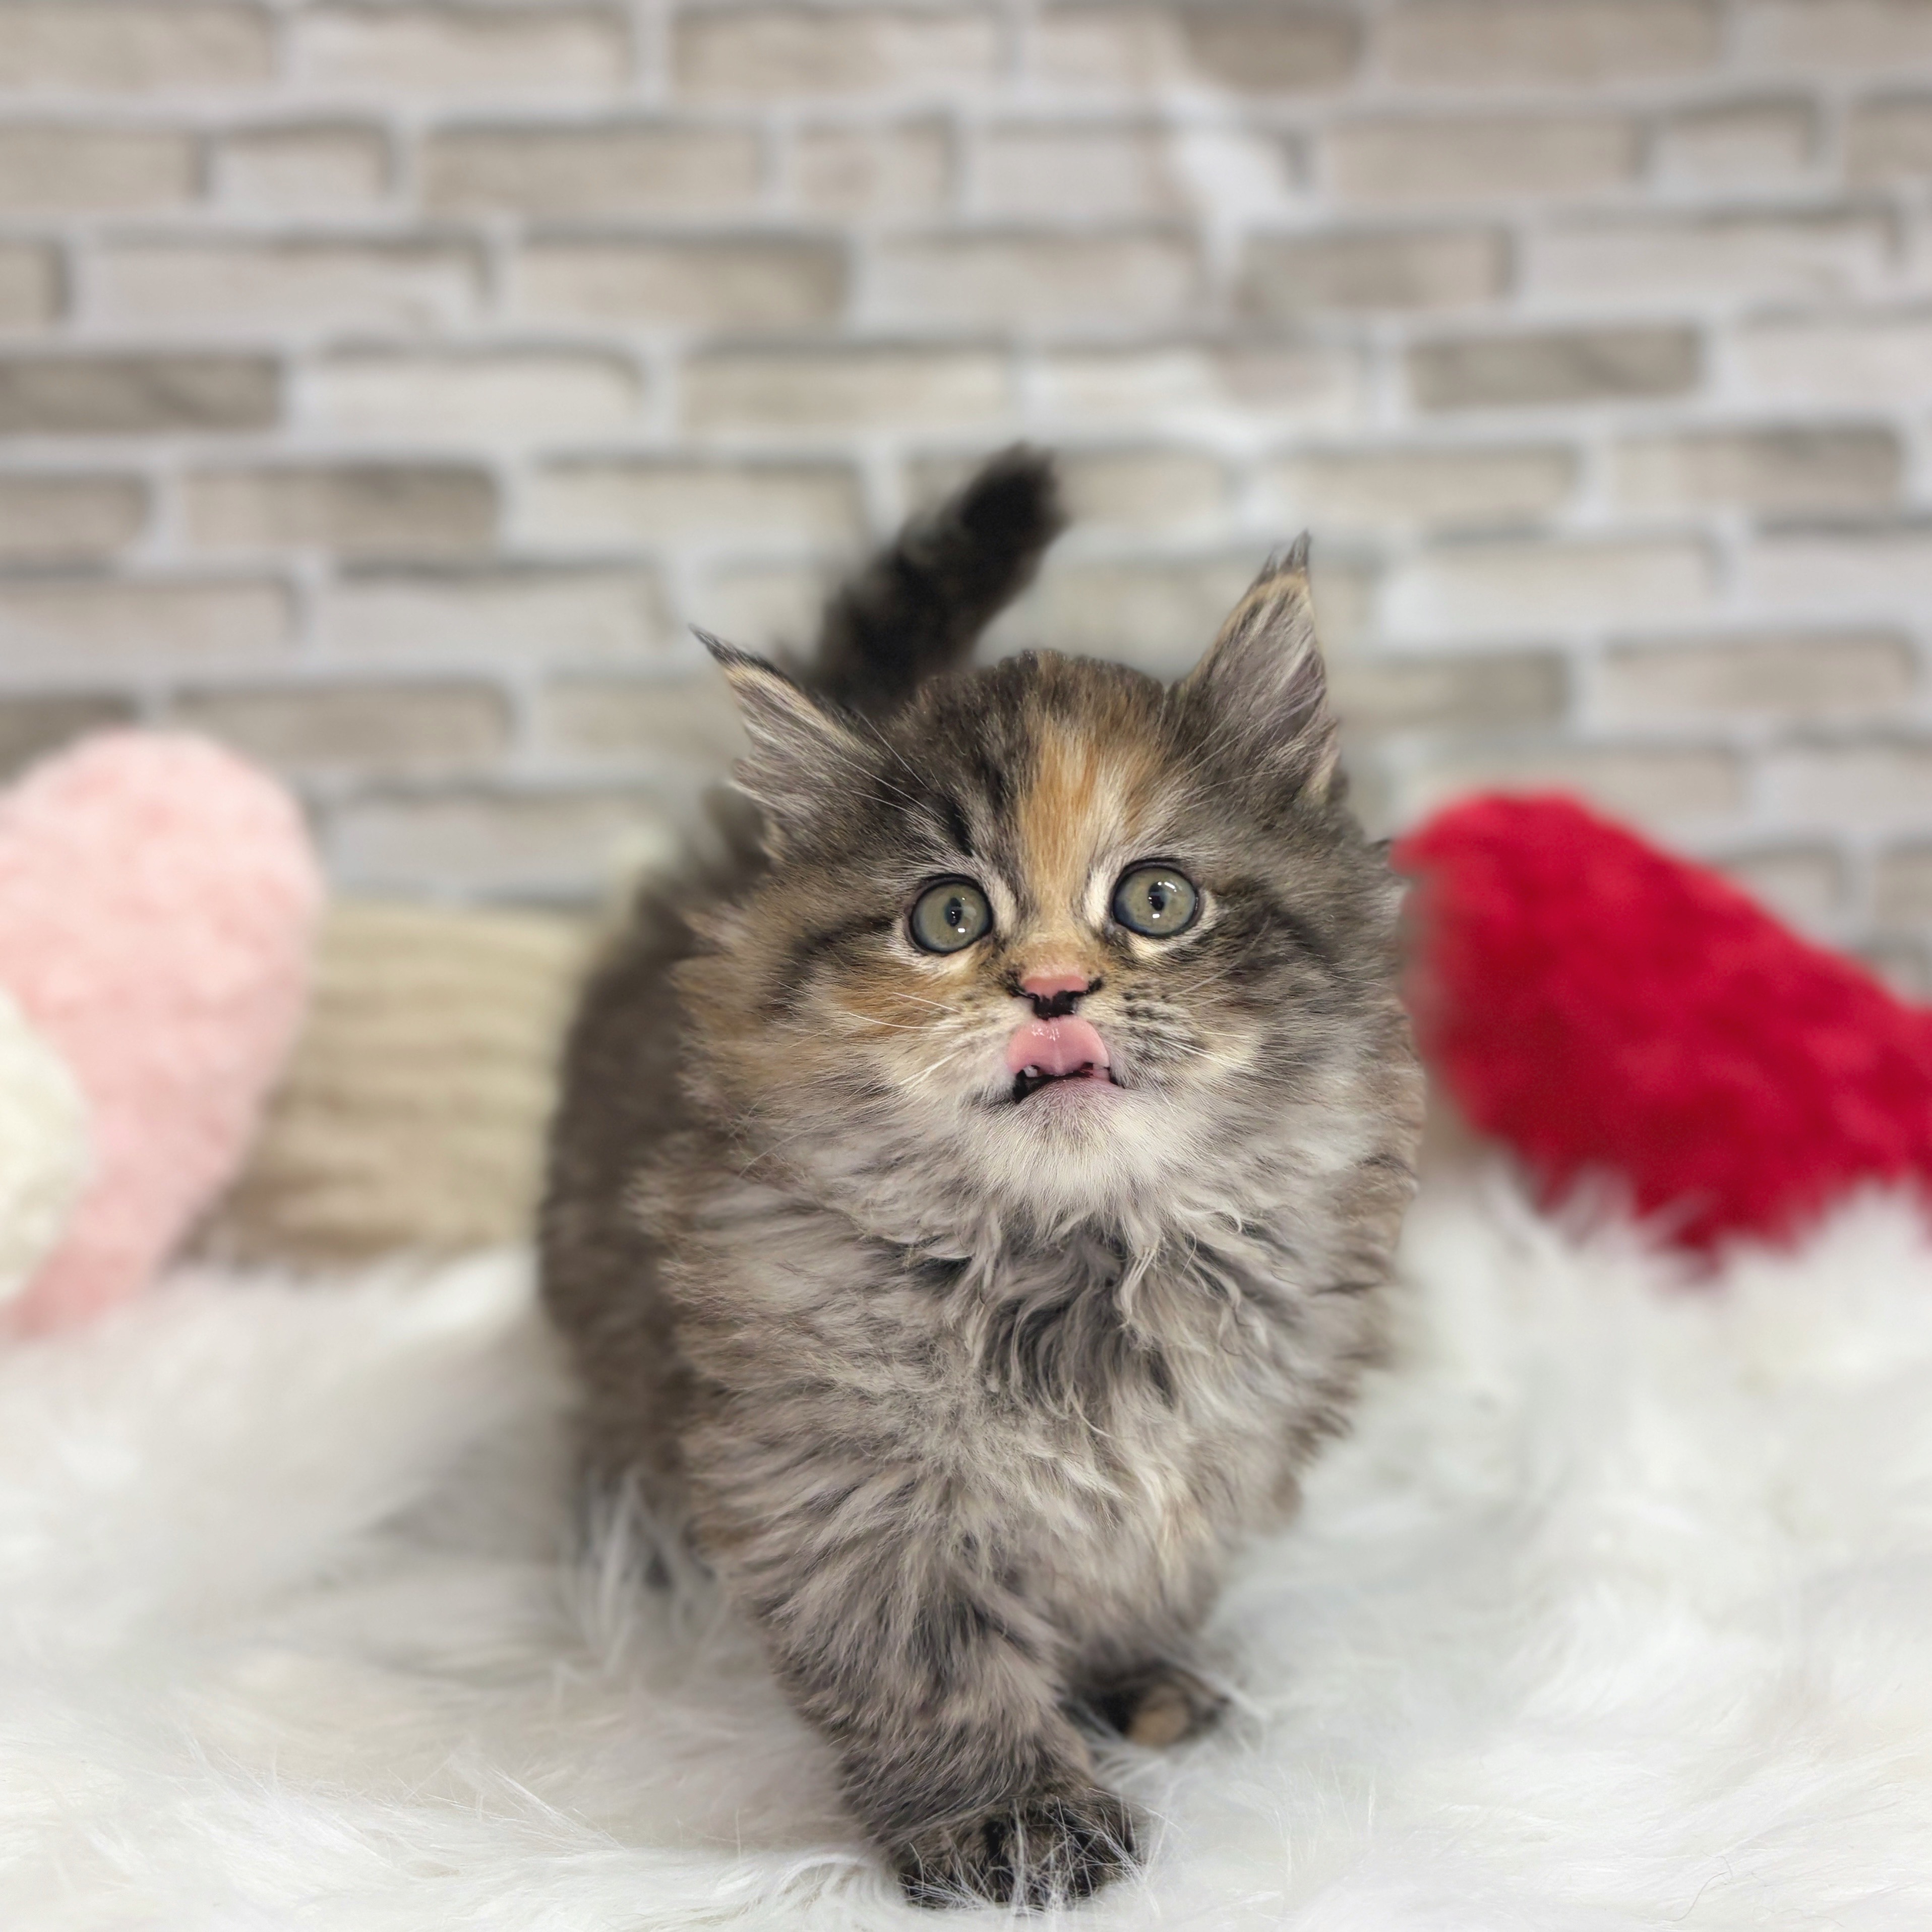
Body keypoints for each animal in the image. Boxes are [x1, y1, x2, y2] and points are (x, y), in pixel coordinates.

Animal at [540, 447, 1424, 1908]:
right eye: (948, 915)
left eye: (1158, 901)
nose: (1054, 988)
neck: (1078, 1260)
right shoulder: (839, 1488)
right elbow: (934, 1670)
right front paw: (1010, 1819)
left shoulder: (1216, 1441)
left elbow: (1134, 1578)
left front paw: (1138, 1682)